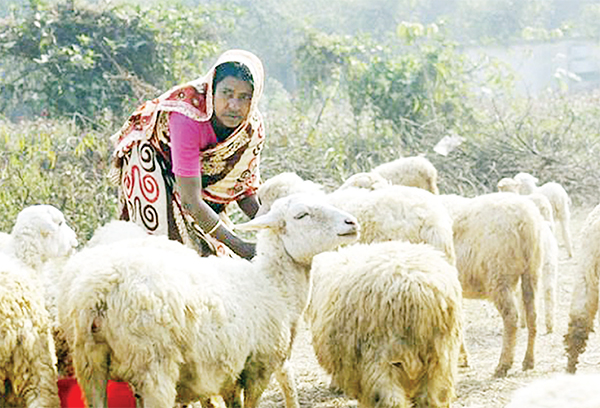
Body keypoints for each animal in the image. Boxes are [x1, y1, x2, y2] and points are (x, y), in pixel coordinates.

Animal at [57, 194, 356, 408]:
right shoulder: (258, 367)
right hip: (154, 367)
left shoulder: (230, 373)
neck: (274, 287)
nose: (352, 223)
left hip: (89, 365)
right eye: (301, 215)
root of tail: (97, 293)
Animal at [452, 193, 548, 378]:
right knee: (532, 314)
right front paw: (462, 359)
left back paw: (503, 365)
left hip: (499, 273)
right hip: (532, 270)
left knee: (511, 318)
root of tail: (526, 220)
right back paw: (529, 361)